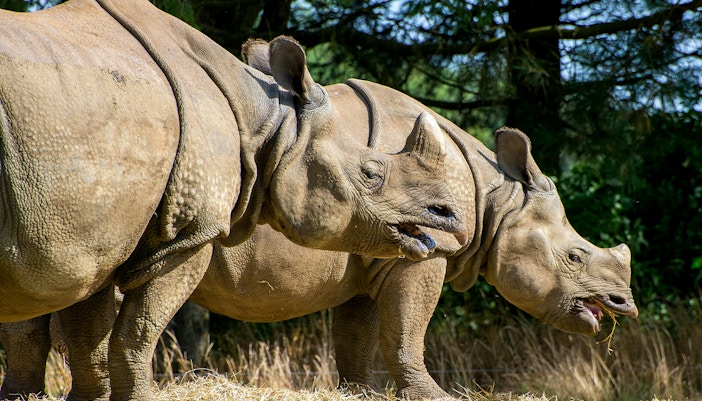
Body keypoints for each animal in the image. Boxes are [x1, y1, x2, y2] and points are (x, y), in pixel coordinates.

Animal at [0, 0, 469, 399]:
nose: (448, 217)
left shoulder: (103, 231)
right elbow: (138, 330)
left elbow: (89, 334)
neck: (271, 125)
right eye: (371, 174)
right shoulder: (187, 232)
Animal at [0, 46, 639, 400]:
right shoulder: (426, 250)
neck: (494, 198)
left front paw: (359, 392)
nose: (624, 305)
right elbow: (407, 331)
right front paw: (434, 395)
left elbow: (359, 335)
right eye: (577, 255)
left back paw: (24, 396)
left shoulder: (382, 247)